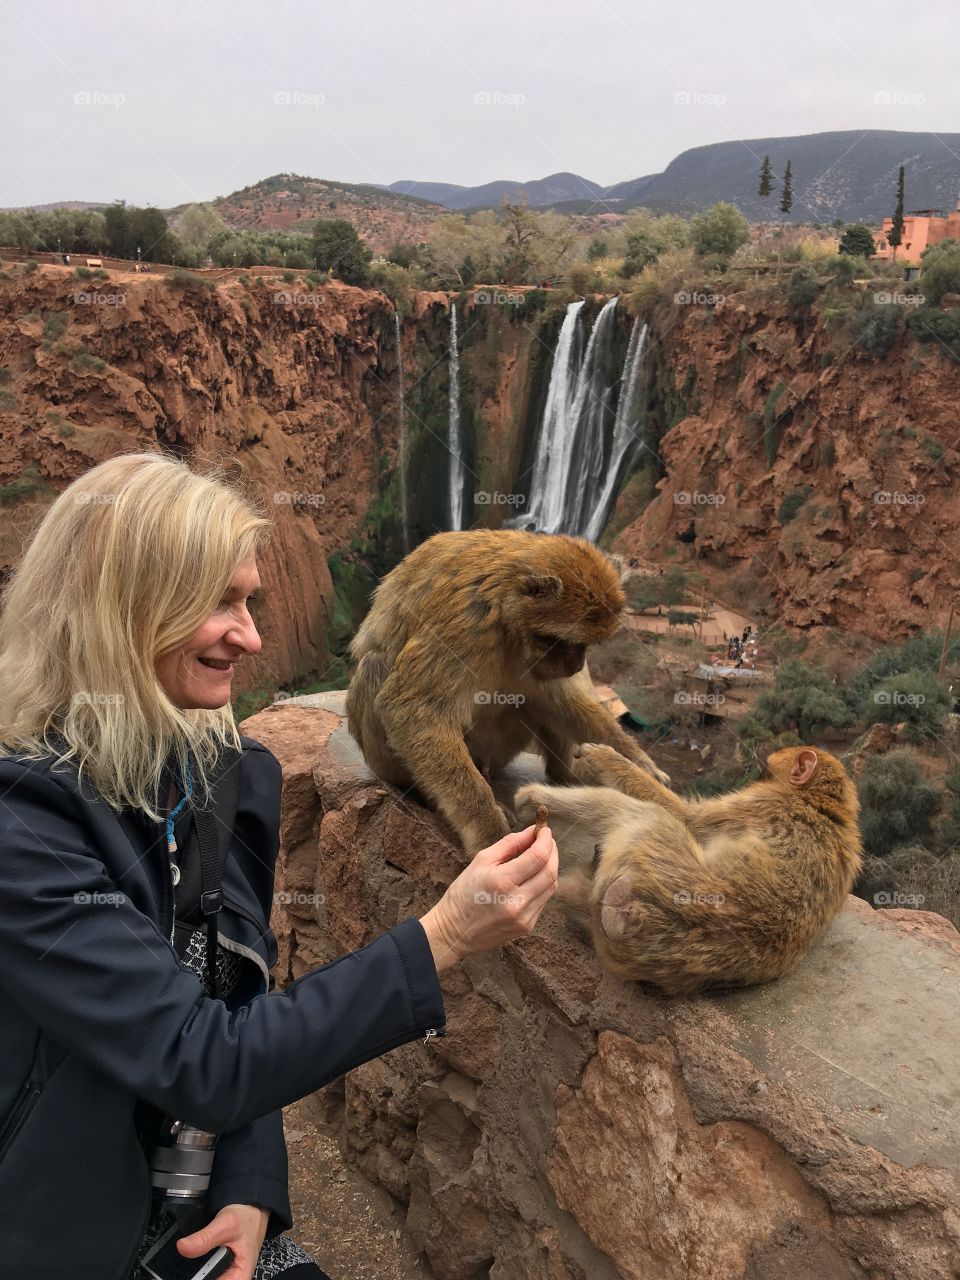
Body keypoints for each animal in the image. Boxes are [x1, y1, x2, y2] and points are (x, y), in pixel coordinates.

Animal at [345, 530, 670, 854]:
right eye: (561, 641)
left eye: (585, 645)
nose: (577, 664)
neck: (507, 613)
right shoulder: (470, 622)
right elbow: (414, 708)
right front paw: (488, 833)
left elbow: (555, 700)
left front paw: (640, 765)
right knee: (374, 664)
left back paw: (566, 775)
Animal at [514, 742, 862, 995]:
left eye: (764, 772)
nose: (751, 779)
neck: (827, 806)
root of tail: (632, 918)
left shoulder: (760, 804)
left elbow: (685, 816)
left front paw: (603, 756)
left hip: (646, 854)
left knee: (647, 814)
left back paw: (537, 802)